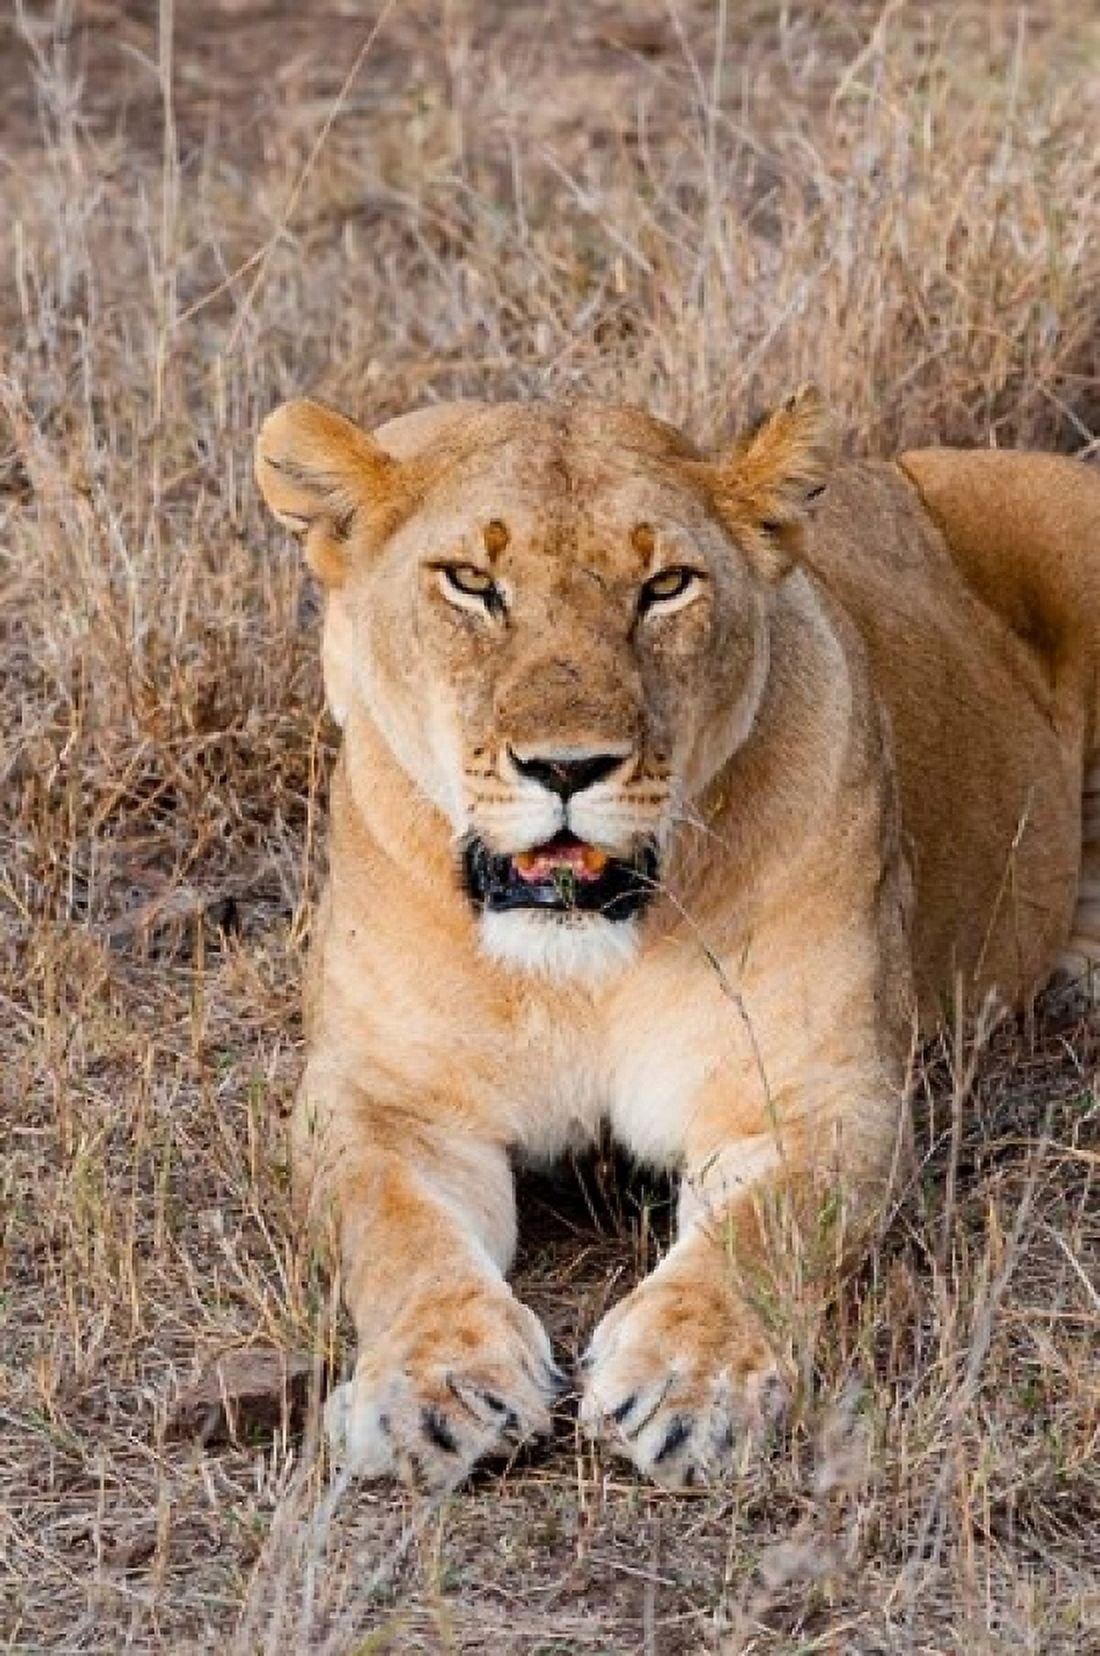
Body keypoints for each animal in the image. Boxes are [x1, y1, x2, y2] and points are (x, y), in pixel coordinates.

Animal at [255, 390, 1100, 1489]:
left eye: (664, 587)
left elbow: (759, 1234)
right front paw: (435, 1388)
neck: (578, 966)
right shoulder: (385, 1101)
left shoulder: (812, 1095)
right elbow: (397, 1231)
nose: (566, 768)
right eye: (472, 583)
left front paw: (687, 1386)